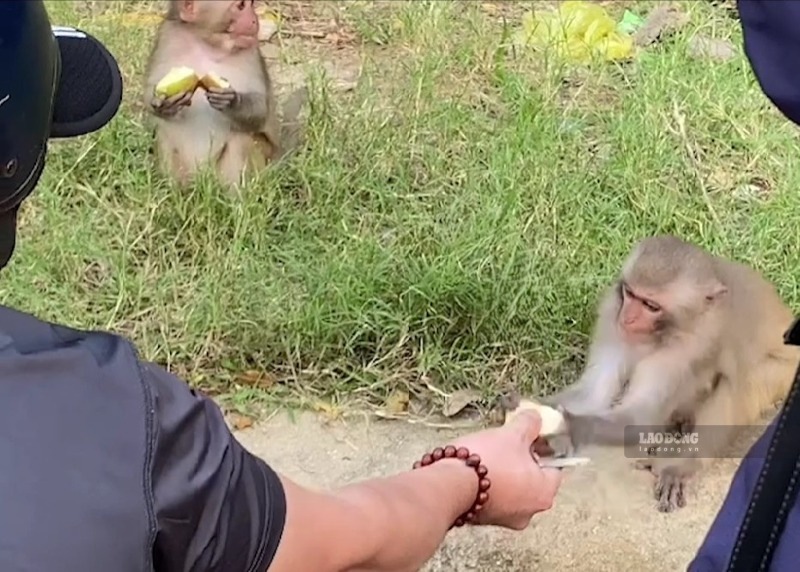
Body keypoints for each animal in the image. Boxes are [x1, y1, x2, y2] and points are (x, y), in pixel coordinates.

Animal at [143, 0, 285, 190]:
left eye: (251, 4)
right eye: (241, 6)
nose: (254, 20)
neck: (207, 43)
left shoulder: (251, 50)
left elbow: (260, 107)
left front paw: (232, 102)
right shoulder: (168, 36)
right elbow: (150, 90)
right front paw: (166, 104)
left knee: (240, 137)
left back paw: (235, 196)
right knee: (163, 131)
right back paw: (175, 191)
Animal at [548, 235, 800, 512]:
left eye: (650, 305)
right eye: (630, 294)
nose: (628, 318)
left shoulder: (683, 352)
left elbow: (639, 418)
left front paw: (572, 426)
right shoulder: (611, 317)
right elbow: (593, 394)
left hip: (783, 374)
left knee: (740, 379)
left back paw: (681, 465)